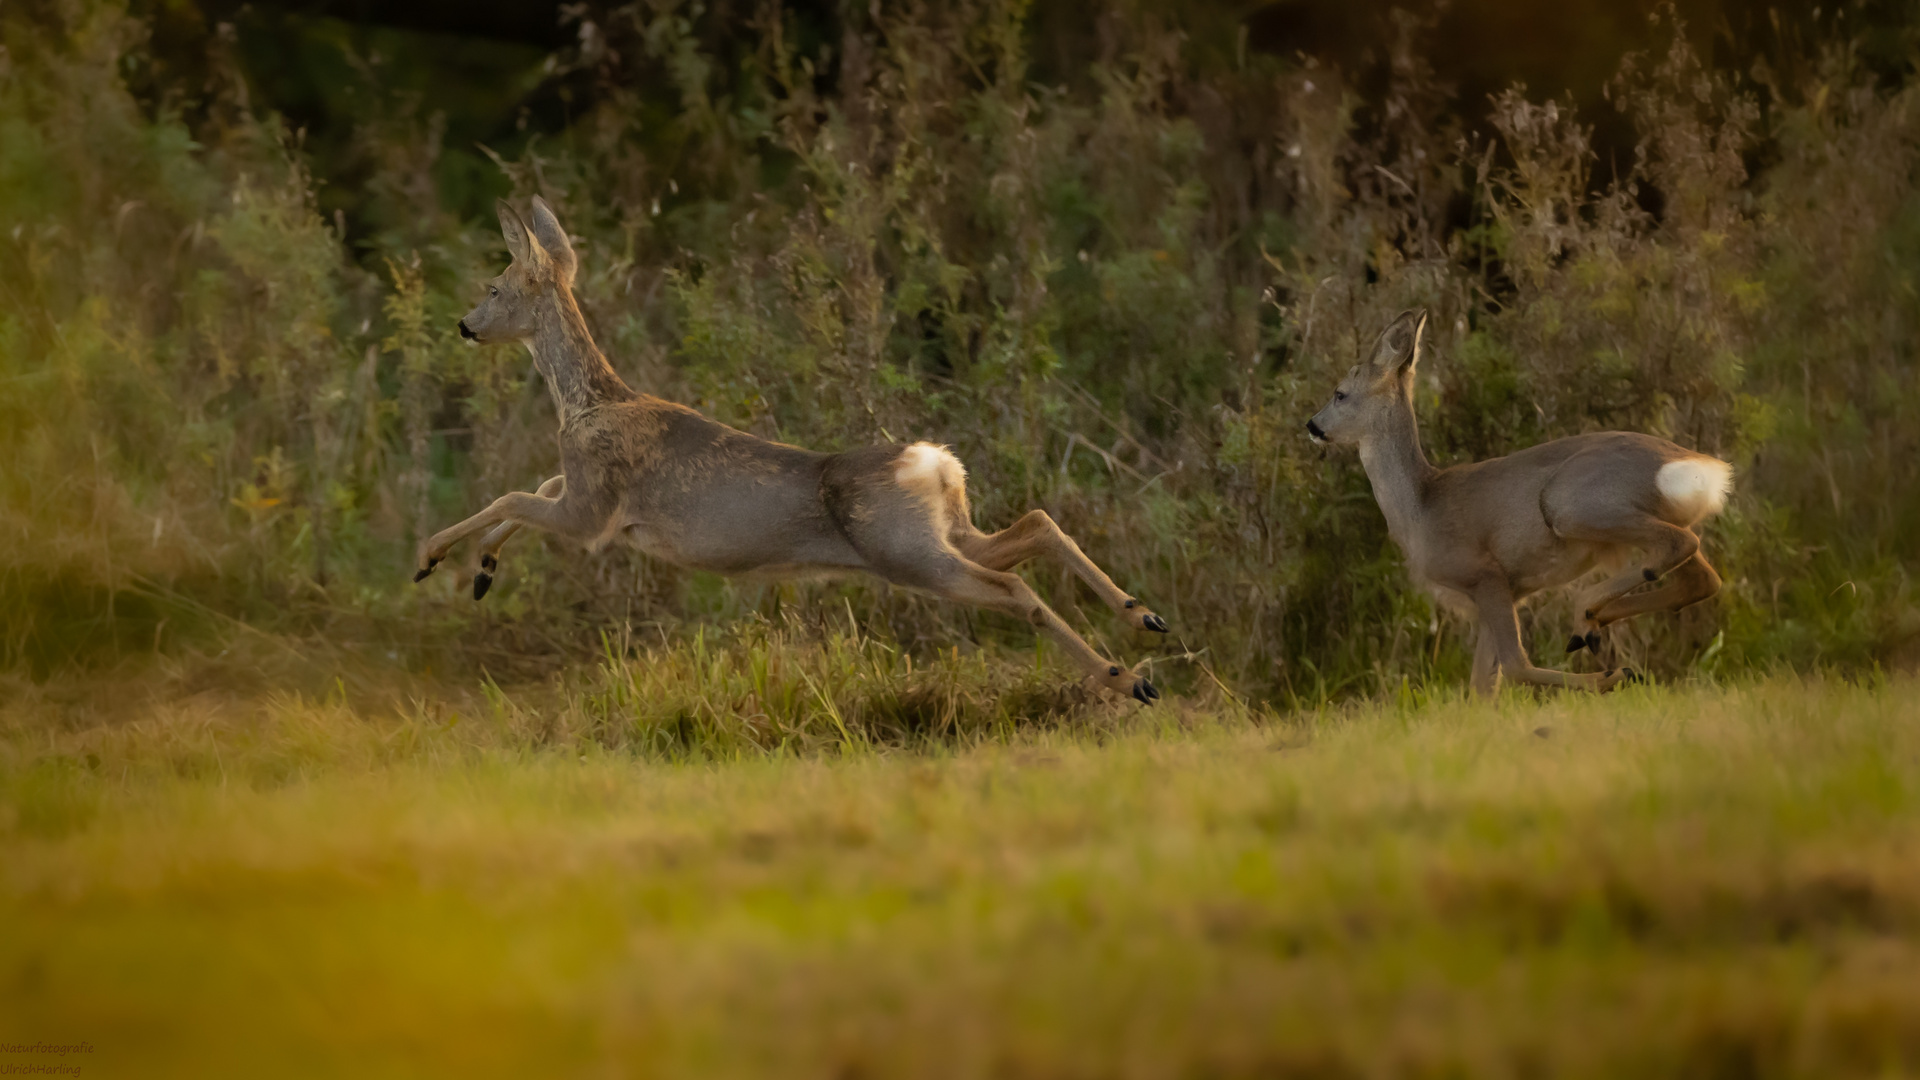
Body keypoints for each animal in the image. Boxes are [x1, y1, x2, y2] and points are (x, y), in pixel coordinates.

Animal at [416, 197, 1167, 703]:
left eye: (493, 286)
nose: (464, 324)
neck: (589, 401)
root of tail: (934, 464)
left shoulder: (595, 510)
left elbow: (513, 493)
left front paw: (431, 557)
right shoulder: (583, 496)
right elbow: (529, 491)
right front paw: (482, 569)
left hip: (907, 554)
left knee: (1014, 588)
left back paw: (1127, 679)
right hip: (938, 535)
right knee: (1035, 526)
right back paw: (1144, 617)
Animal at [1313, 307, 1735, 691]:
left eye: (1340, 394)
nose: (1312, 425)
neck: (1421, 506)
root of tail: (1697, 468)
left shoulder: (1485, 574)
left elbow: (1515, 666)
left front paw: (1615, 676)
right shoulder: (1502, 593)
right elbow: (1480, 688)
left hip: (1569, 504)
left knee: (1679, 545)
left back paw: (1587, 621)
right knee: (1702, 578)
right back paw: (1594, 624)